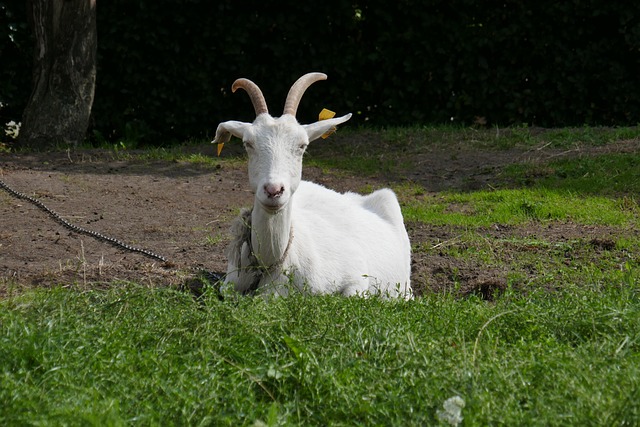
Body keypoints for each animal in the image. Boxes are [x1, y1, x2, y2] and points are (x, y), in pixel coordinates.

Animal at [213, 72, 412, 298]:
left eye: (302, 145)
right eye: (248, 144)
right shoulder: (229, 283)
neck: (270, 264)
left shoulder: (357, 275)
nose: (274, 190)